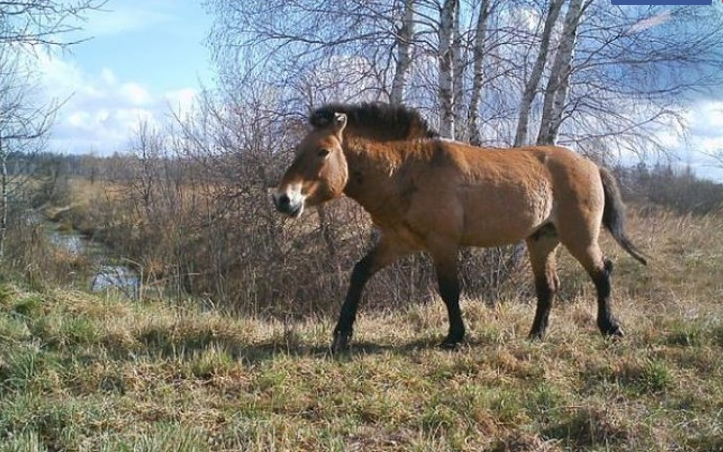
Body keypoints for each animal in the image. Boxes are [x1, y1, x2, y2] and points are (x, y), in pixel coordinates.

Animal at [274, 103, 648, 354]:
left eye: (323, 151)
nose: (283, 199)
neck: (410, 169)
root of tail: (590, 164)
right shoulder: (399, 242)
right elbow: (360, 273)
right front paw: (341, 334)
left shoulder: (443, 244)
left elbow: (449, 290)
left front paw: (454, 336)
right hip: (542, 240)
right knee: (548, 287)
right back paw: (536, 335)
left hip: (579, 237)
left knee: (602, 272)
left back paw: (610, 328)